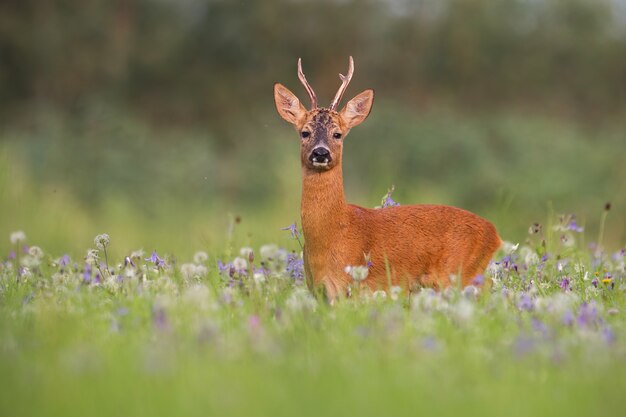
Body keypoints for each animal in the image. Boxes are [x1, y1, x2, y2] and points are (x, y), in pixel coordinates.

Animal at [270, 56, 500, 300]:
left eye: (337, 134)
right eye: (304, 132)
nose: (321, 153)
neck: (332, 234)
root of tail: (494, 234)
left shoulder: (349, 286)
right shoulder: (317, 291)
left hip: (461, 274)